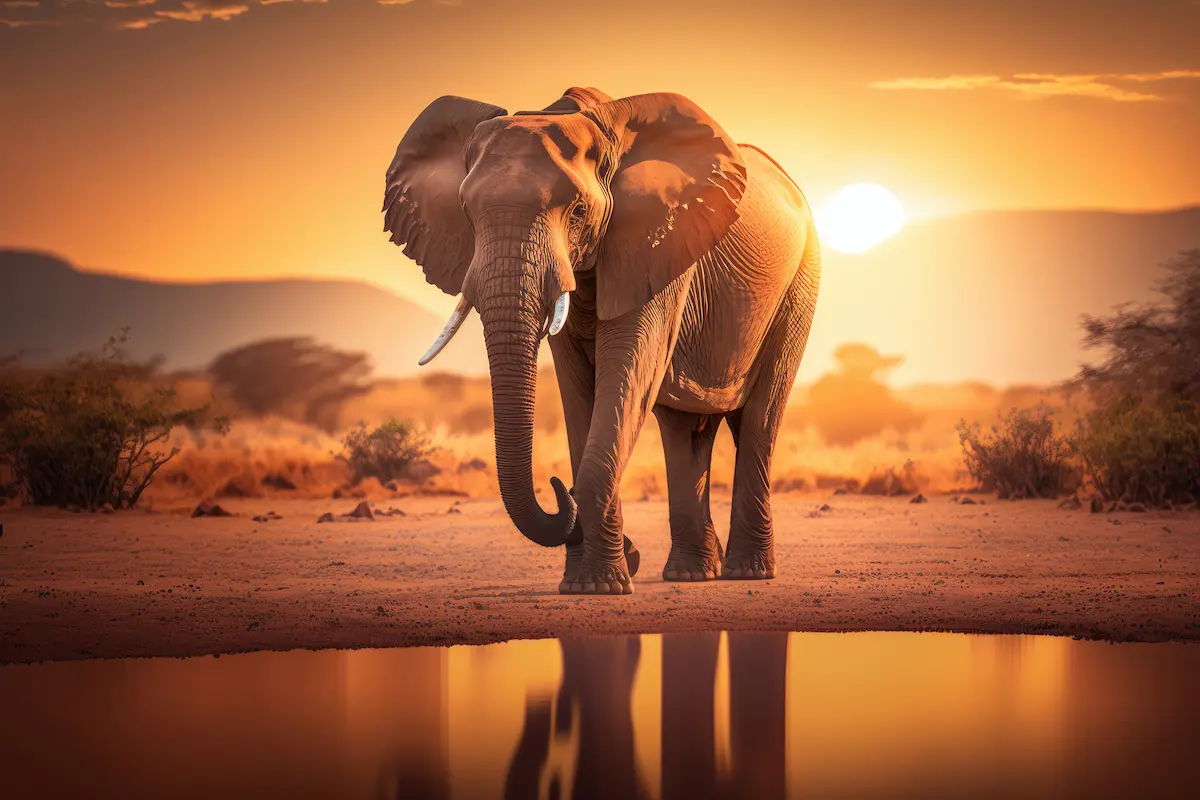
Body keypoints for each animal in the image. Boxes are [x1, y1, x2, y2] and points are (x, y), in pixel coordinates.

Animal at [383, 87, 821, 595]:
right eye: (467, 213)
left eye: (577, 211)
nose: (557, 490)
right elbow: (578, 392)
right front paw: (588, 580)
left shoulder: (657, 243)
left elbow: (628, 374)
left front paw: (600, 584)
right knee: (684, 430)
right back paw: (691, 573)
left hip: (800, 283)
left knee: (759, 419)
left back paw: (746, 571)